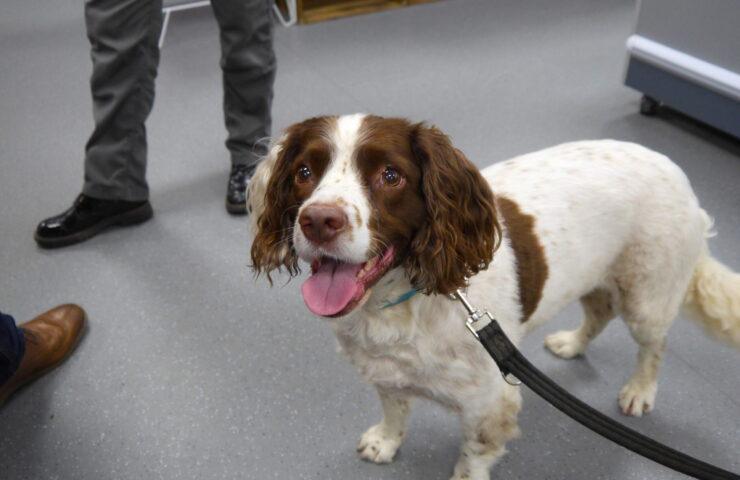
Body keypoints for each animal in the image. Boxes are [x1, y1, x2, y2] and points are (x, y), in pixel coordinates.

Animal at [249, 113, 740, 480]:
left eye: (390, 175)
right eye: (304, 172)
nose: (318, 220)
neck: (403, 302)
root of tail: (673, 166)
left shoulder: (489, 405)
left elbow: (471, 460)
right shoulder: (386, 373)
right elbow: (395, 409)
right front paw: (386, 441)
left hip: (646, 296)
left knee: (654, 346)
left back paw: (639, 391)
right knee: (599, 311)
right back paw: (571, 343)